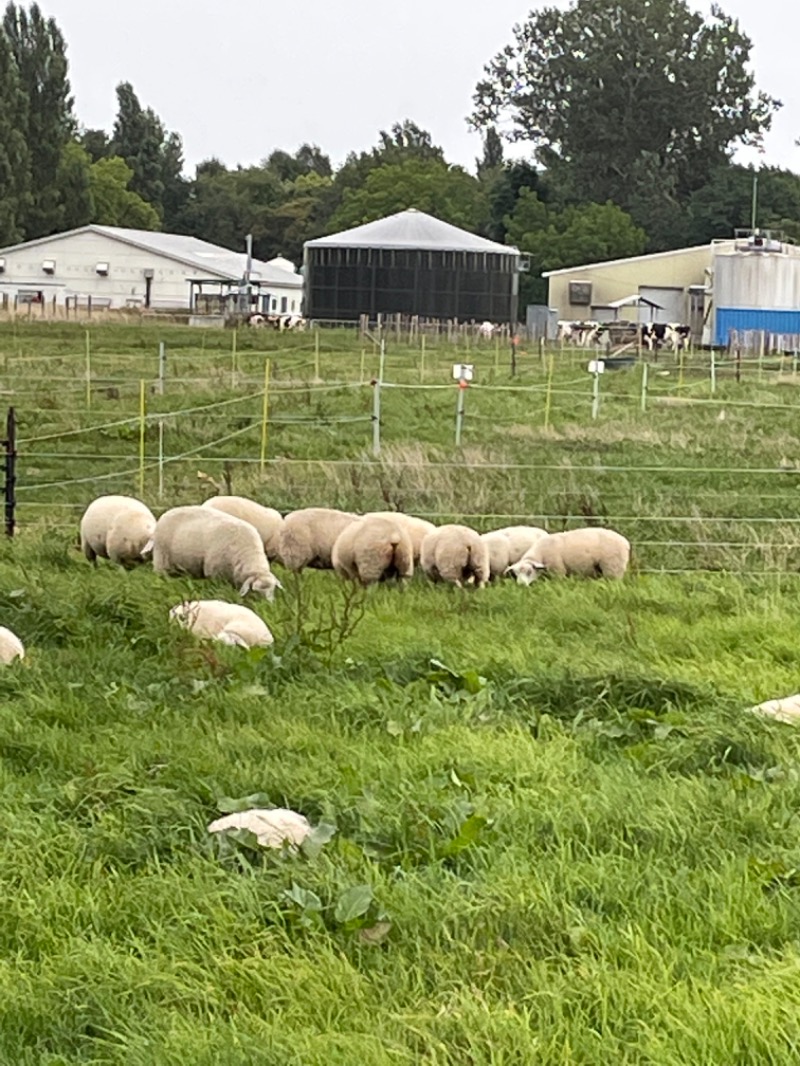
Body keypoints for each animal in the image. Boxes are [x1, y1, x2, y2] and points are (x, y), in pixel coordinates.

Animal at [151, 501, 283, 601]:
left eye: (272, 590)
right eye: (256, 591)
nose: (268, 605)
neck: (248, 554)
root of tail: (168, 512)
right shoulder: (215, 574)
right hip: (161, 557)